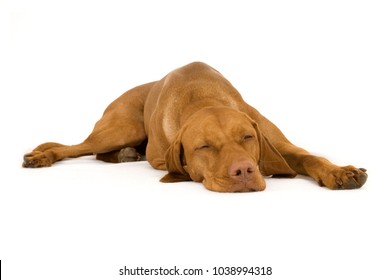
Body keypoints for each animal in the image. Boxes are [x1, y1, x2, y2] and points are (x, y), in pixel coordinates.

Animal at [23, 61, 366, 192]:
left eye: (247, 137)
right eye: (204, 147)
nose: (244, 171)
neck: (203, 97)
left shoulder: (278, 145)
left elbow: (309, 156)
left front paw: (339, 172)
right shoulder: (160, 158)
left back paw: (124, 155)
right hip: (120, 128)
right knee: (73, 148)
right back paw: (41, 157)